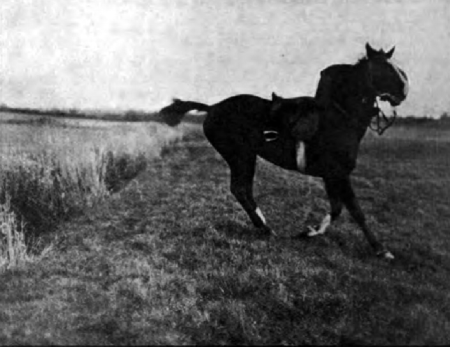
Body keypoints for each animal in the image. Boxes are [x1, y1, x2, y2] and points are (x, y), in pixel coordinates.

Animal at [161, 44, 408, 258]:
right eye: (383, 67)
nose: (404, 90)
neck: (340, 116)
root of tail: (211, 108)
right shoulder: (339, 174)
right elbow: (356, 211)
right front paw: (381, 250)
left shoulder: (331, 176)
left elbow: (337, 208)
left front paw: (311, 231)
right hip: (241, 156)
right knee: (241, 189)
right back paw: (265, 228)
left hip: (243, 157)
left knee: (242, 190)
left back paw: (265, 226)